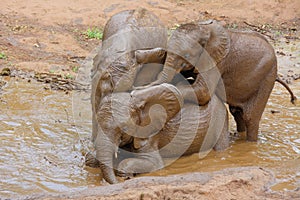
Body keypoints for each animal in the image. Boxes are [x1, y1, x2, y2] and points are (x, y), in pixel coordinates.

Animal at [137, 19, 296, 142]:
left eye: (187, 56)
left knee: (250, 118)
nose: (140, 86)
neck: (203, 29)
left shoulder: (217, 61)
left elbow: (203, 93)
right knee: (237, 112)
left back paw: (250, 143)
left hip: (267, 76)